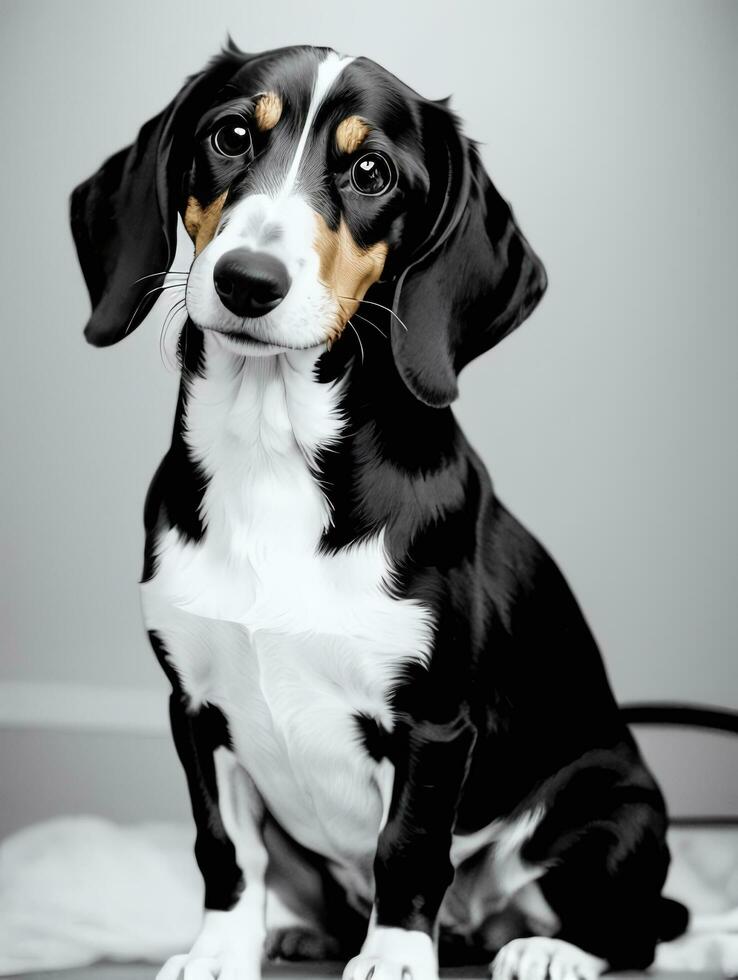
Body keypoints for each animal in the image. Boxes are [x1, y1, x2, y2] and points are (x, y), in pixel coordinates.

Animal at [69, 42, 684, 980]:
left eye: (370, 172)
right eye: (230, 135)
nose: (247, 282)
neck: (273, 454)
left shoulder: (431, 725)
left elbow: (410, 847)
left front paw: (394, 956)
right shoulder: (196, 705)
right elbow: (224, 850)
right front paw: (218, 951)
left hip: (607, 809)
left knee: (635, 929)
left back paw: (551, 951)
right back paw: (306, 932)